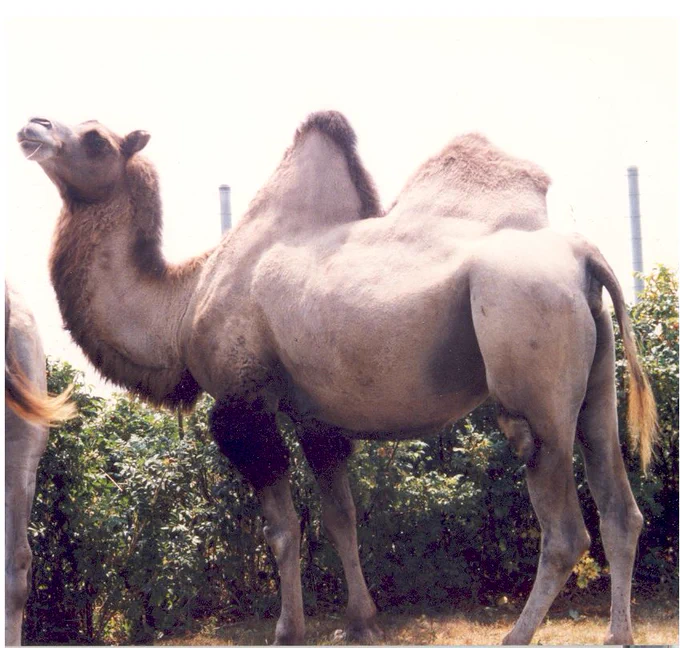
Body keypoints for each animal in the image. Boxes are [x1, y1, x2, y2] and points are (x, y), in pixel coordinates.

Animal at [17, 111, 657, 645]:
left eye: (96, 138)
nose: (33, 125)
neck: (182, 302)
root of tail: (582, 257)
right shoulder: (316, 417)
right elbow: (340, 519)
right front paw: (361, 621)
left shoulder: (243, 405)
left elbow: (282, 529)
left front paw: (288, 630)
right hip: (595, 381)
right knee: (620, 507)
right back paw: (617, 635)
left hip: (530, 360)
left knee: (565, 526)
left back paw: (516, 636)